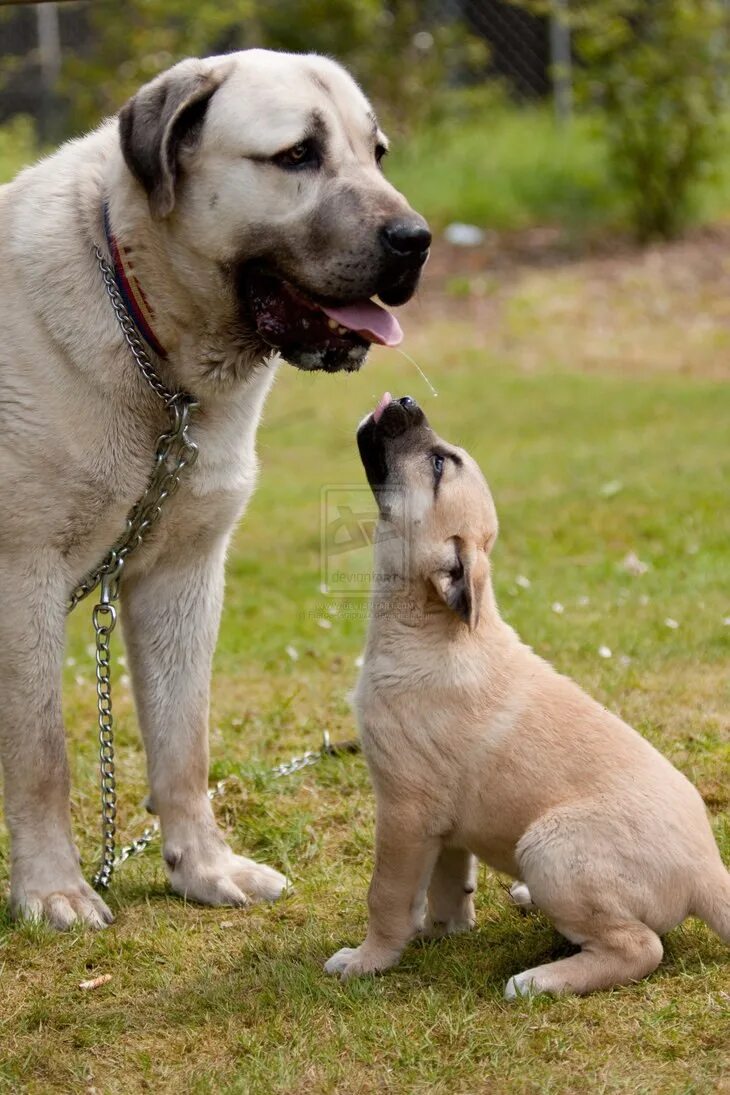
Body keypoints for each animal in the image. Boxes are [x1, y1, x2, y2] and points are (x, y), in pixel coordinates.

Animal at [0, 47, 431, 928]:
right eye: (297, 155)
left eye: (377, 154)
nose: (417, 239)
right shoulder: (21, 574)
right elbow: (41, 754)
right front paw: (53, 889)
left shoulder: (183, 573)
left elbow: (183, 742)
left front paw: (202, 868)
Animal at [326, 396, 730, 1003]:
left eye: (440, 465)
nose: (405, 401)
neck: (431, 629)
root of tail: (707, 871)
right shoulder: (440, 824)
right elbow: (446, 885)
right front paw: (442, 931)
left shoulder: (404, 810)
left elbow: (388, 896)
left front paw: (369, 959)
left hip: (549, 846)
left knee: (640, 948)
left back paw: (540, 980)